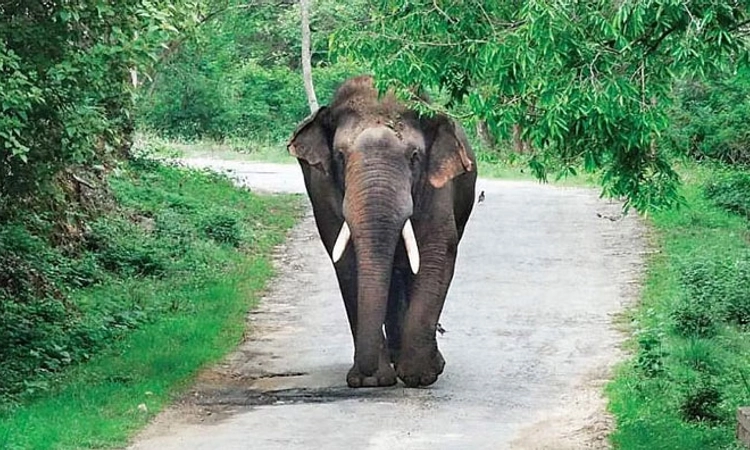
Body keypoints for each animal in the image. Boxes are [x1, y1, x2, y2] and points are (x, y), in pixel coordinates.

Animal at [287, 76, 477, 388]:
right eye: (340, 156)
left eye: (415, 157)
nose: (364, 375)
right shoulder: (322, 190)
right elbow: (347, 261)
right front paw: (372, 381)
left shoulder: (438, 186)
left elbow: (435, 253)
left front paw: (420, 376)